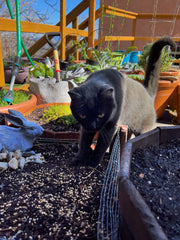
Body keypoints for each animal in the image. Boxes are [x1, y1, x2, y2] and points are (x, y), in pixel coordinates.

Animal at [68, 37, 176, 166]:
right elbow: (84, 143)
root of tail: (148, 93)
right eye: (82, 115)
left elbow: (101, 146)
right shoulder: (85, 127)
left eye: (101, 115)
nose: (93, 127)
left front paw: (93, 162)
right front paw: (79, 159)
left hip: (143, 129)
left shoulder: (110, 126)